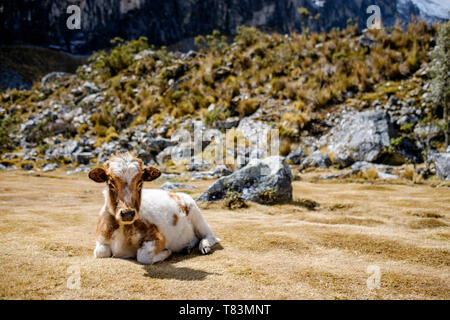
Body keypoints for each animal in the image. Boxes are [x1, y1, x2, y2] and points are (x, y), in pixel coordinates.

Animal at [88, 152, 218, 264]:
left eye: (140, 183)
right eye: (110, 184)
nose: (128, 213)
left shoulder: (158, 237)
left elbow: (143, 256)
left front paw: (167, 252)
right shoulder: (100, 238)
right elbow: (101, 252)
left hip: (197, 216)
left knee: (210, 236)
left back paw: (204, 246)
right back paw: (187, 247)